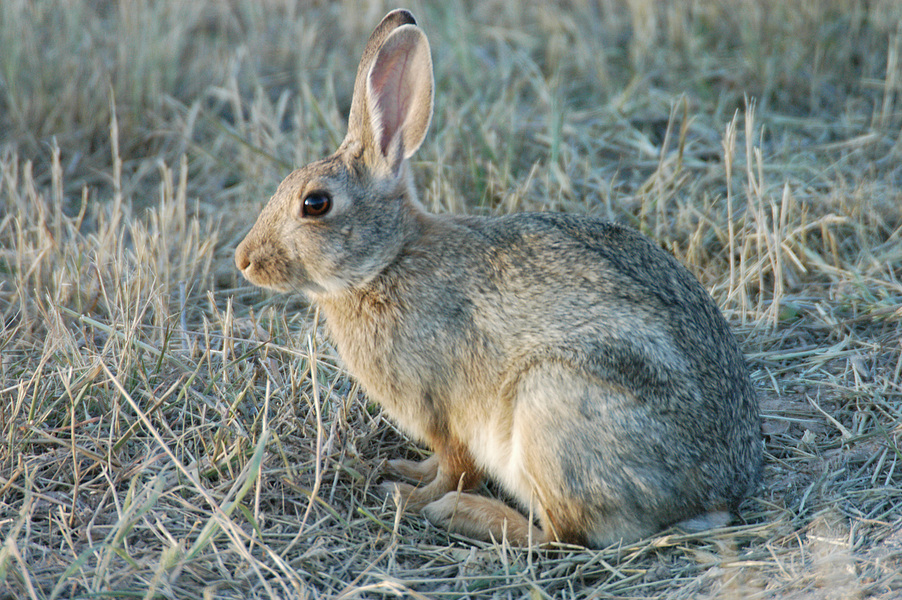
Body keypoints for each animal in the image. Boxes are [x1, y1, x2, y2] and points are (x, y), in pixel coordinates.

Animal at [235, 9, 764, 548]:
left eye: (315, 204)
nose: (244, 260)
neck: (388, 262)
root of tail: (711, 498)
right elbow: (438, 463)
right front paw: (406, 470)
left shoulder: (444, 409)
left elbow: (456, 467)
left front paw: (409, 497)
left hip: (549, 411)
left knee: (558, 534)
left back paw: (462, 513)